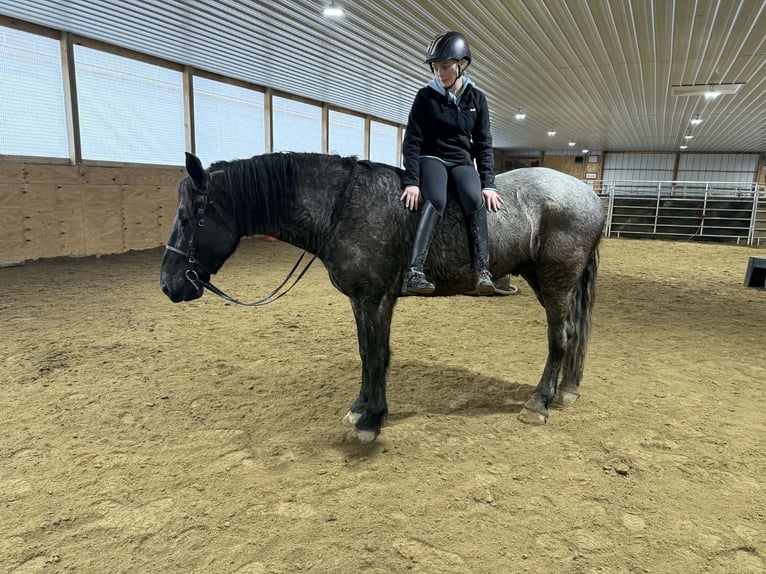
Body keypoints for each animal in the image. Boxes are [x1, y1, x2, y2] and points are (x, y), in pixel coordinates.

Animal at [160, 152, 606, 443]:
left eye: (190, 218)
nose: (168, 284)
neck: (344, 207)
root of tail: (590, 197)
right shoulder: (362, 300)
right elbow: (366, 353)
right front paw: (361, 407)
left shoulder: (374, 298)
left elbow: (376, 356)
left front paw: (371, 421)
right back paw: (564, 391)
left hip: (556, 281)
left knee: (559, 338)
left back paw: (538, 403)